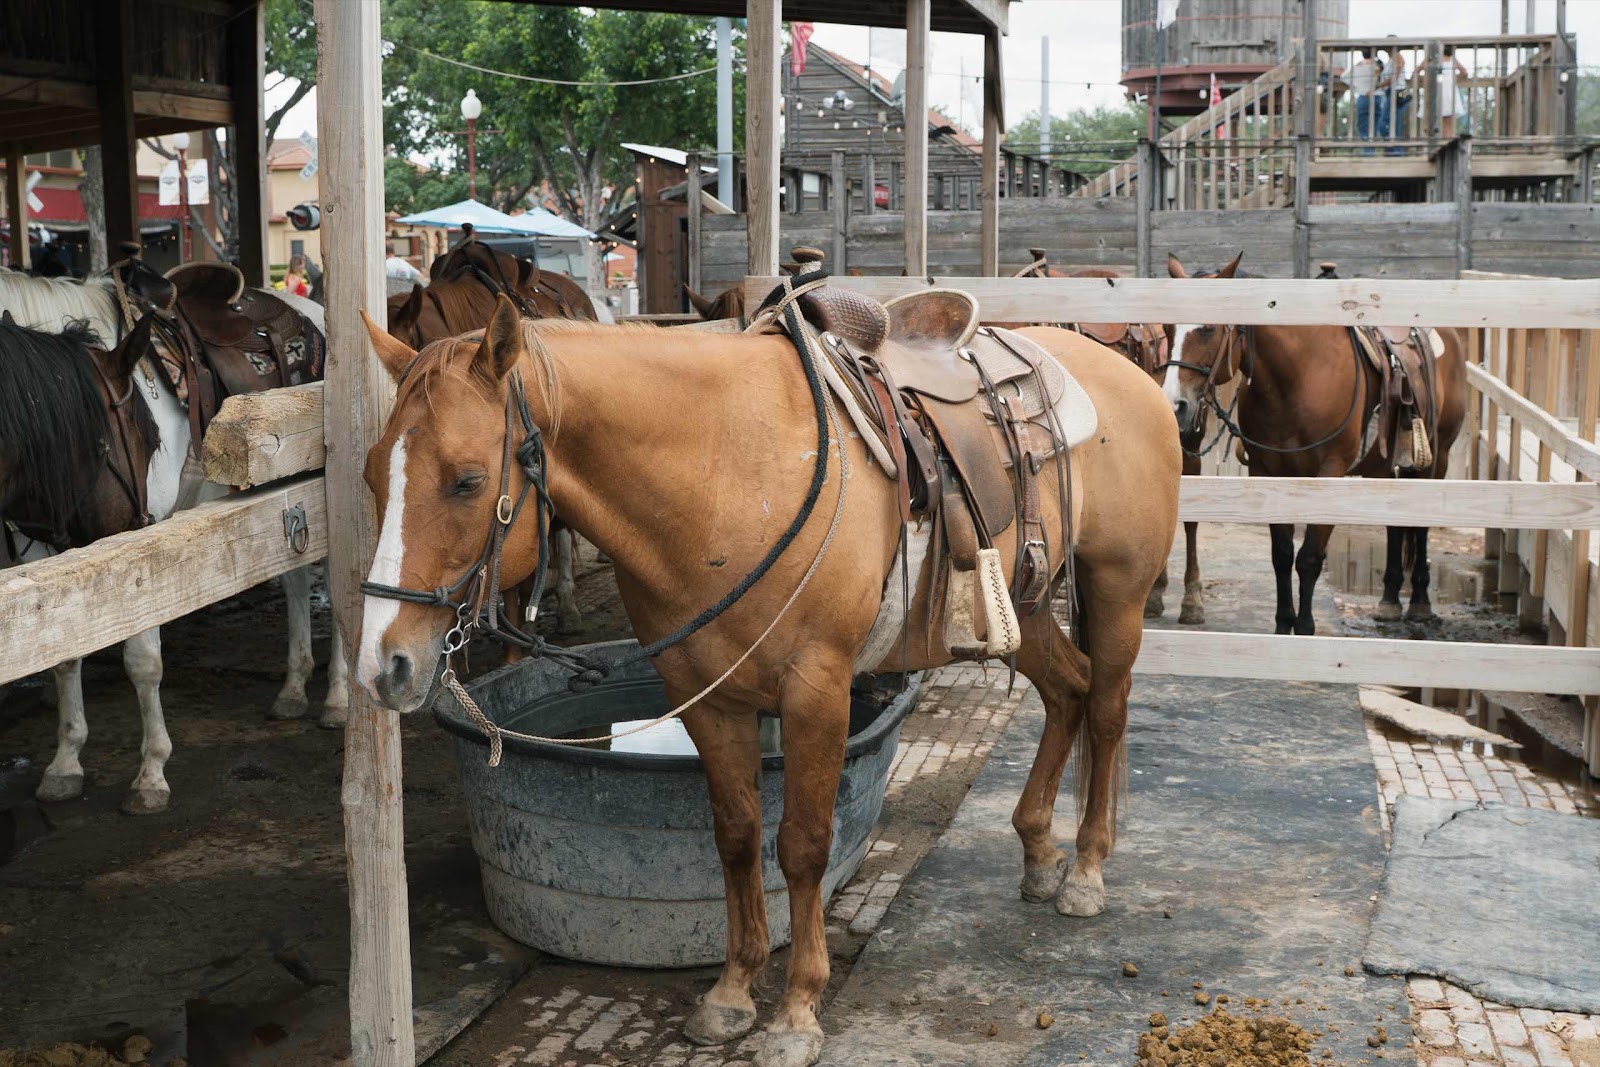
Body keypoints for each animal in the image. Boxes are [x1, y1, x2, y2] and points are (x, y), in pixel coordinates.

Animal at [353, 292, 1180, 1066]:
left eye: (465, 481)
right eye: (370, 473)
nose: (383, 664)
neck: (725, 472)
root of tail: (1129, 375)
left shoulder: (817, 690)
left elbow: (804, 845)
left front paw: (797, 1011)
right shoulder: (704, 694)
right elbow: (737, 834)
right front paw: (732, 991)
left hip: (1116, 592)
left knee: (1106, 707)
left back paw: (1087, 869)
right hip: (1021, 607)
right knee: (1068, 690)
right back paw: (1039, 850)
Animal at [1163, 253, 1467, 635]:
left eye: (1208, 328)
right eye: (1166, 329)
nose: (1175, 405)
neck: (1298, 374)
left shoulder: (1329, 473)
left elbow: (1309, 558)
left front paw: (1304, 627)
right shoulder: (1267, 471)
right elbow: (1281, 555)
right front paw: (1283, 625)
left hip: (1438, 459)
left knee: (1420, 524)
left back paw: (1420, 602)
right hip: (1386, 466)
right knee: (1395, 524)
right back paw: (1388, 600)